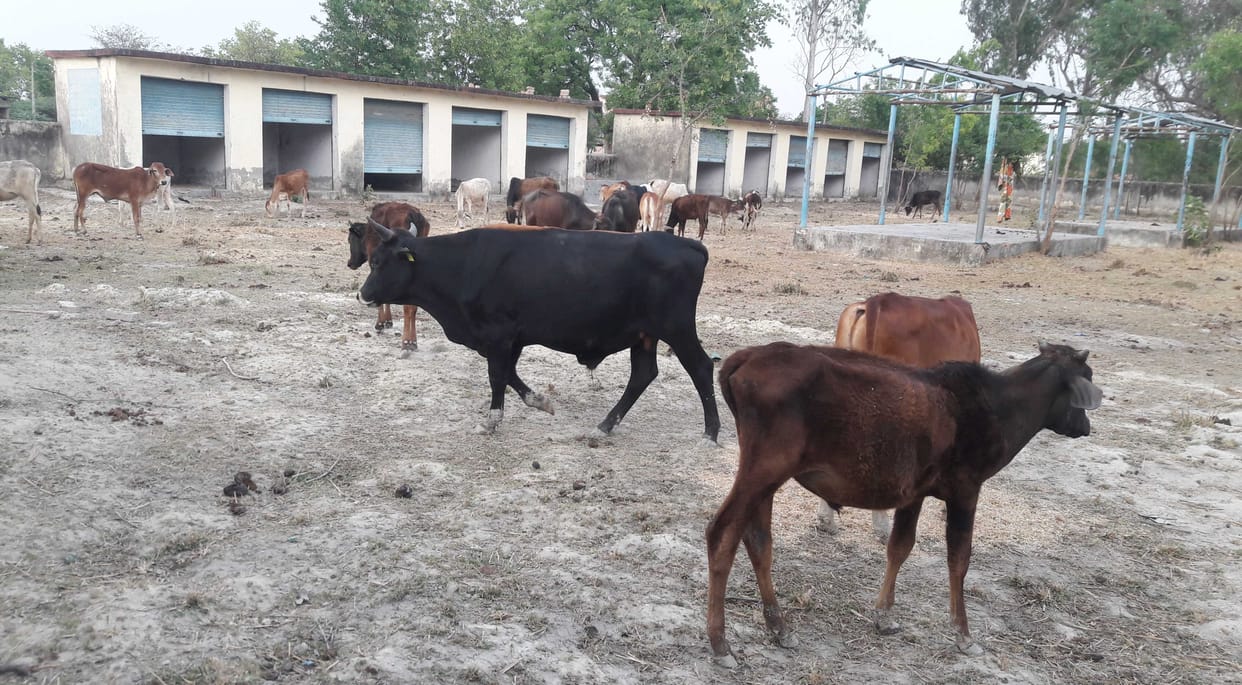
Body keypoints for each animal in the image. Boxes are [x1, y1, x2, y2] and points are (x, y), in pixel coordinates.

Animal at [347, 202, 431, 351]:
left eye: (350, 240)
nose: (350, 263)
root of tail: (414, 215)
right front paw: (388, 321)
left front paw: (381, 323)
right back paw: (412, 341)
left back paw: (407, 341)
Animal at [357, 226, 721, 443]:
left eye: (377, 263)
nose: (362, 294)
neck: (462, 264)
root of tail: (689, 244)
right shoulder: (511, 339)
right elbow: (509, 375)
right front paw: (540, 402)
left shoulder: (499, 334)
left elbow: (497, 376)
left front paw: (492, 420)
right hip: (645, 335)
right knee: (643, 375)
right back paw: (604, 426)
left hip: (677, 328)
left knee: (701, 368)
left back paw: (711, 431)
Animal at [706, 341, 1102, 668]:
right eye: (1086, 377)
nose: (1085, 427)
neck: (998, 406)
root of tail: (747, 357)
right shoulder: (966, 491)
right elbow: (959, 560)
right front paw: (963, 634)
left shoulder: (913, 494)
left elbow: (900, 547)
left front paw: (884, 615)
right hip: (763, 470)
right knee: (721, 535)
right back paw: (720, 643)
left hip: (766, 480)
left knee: (758, 542)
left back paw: (779, 627)